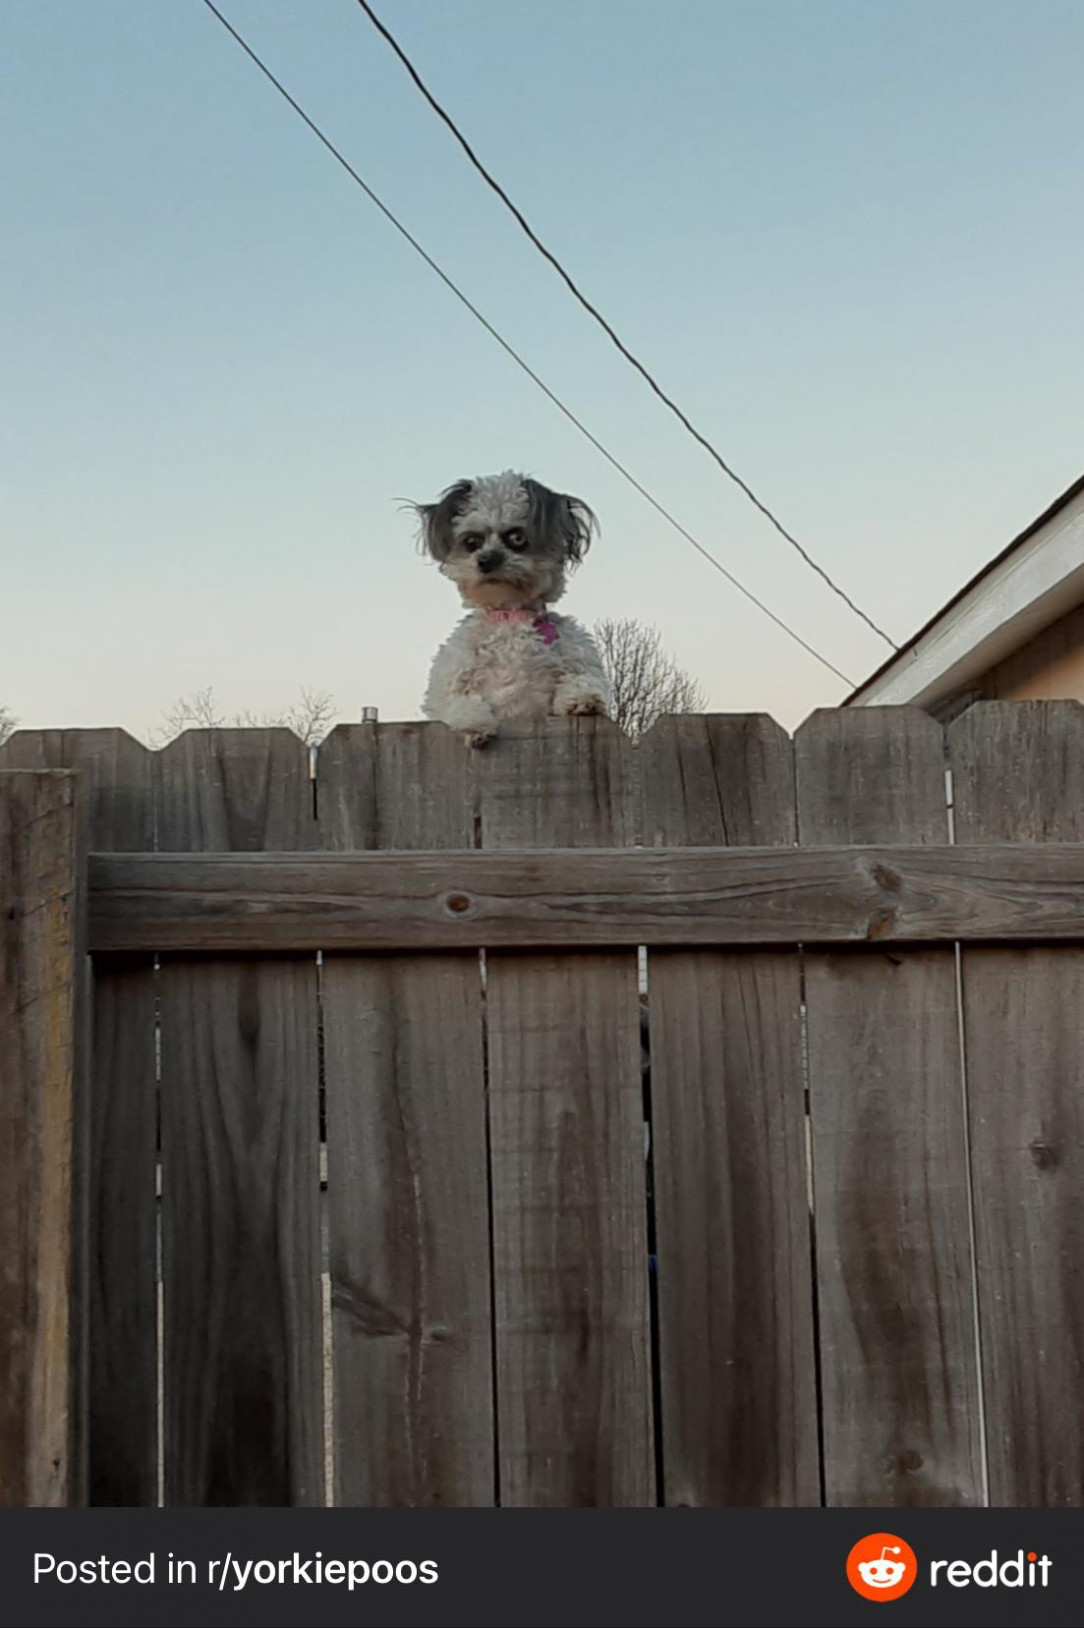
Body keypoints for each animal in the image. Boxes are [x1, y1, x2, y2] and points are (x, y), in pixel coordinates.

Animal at [416, 475, 611, 745]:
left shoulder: (578, 658)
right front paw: (475, 723)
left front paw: (583, 699)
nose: (486, 560)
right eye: (471, 542)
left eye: (517, 537)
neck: (511, 615)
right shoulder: (447, 686)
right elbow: (458, 702)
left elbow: (584, 679)